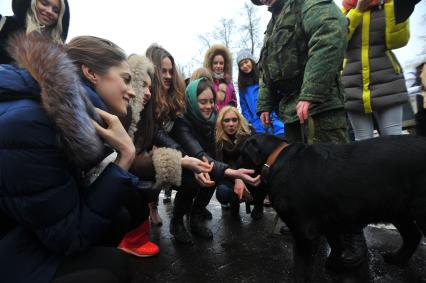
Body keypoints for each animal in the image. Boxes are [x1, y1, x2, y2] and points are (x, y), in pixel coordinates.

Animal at [238, 134, 426, 282]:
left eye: (241, 154)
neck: (275, 158)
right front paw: (335, 264)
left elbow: (301, 267)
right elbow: (336, 245)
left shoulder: (304, 233)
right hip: (398, 210)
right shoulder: (330, 223)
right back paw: (398, 258)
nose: (233, 167)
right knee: (413, 236)